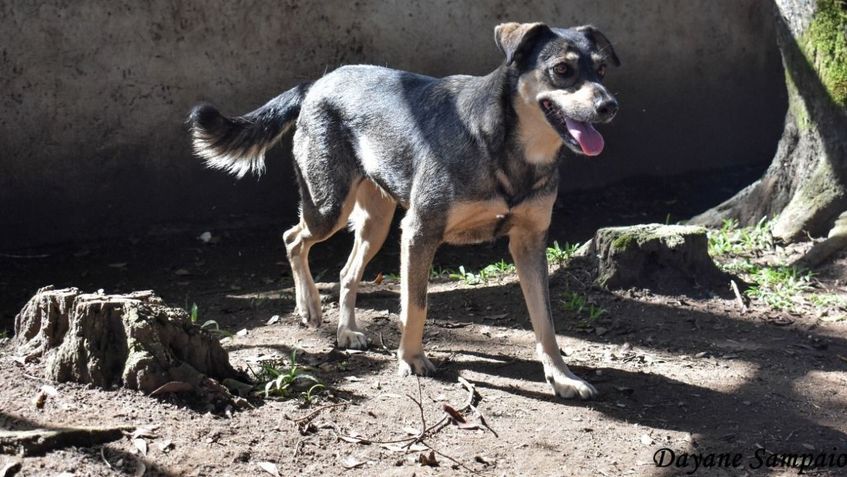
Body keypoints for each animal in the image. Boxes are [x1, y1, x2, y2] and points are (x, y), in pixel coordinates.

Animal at [189, 21, 620, 398]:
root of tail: (319, 82)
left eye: (601, 69)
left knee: (346, 271)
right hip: (329, 207)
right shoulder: (419, 232)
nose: (610, 106)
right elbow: (415, 305)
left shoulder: (529, 243)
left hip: (376, 223)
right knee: (293, 237)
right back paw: (309, 307)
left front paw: (562, 376)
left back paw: (346, 331)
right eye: (561, 70)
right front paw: (411, 358)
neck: (507, 147)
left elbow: (545, 321)